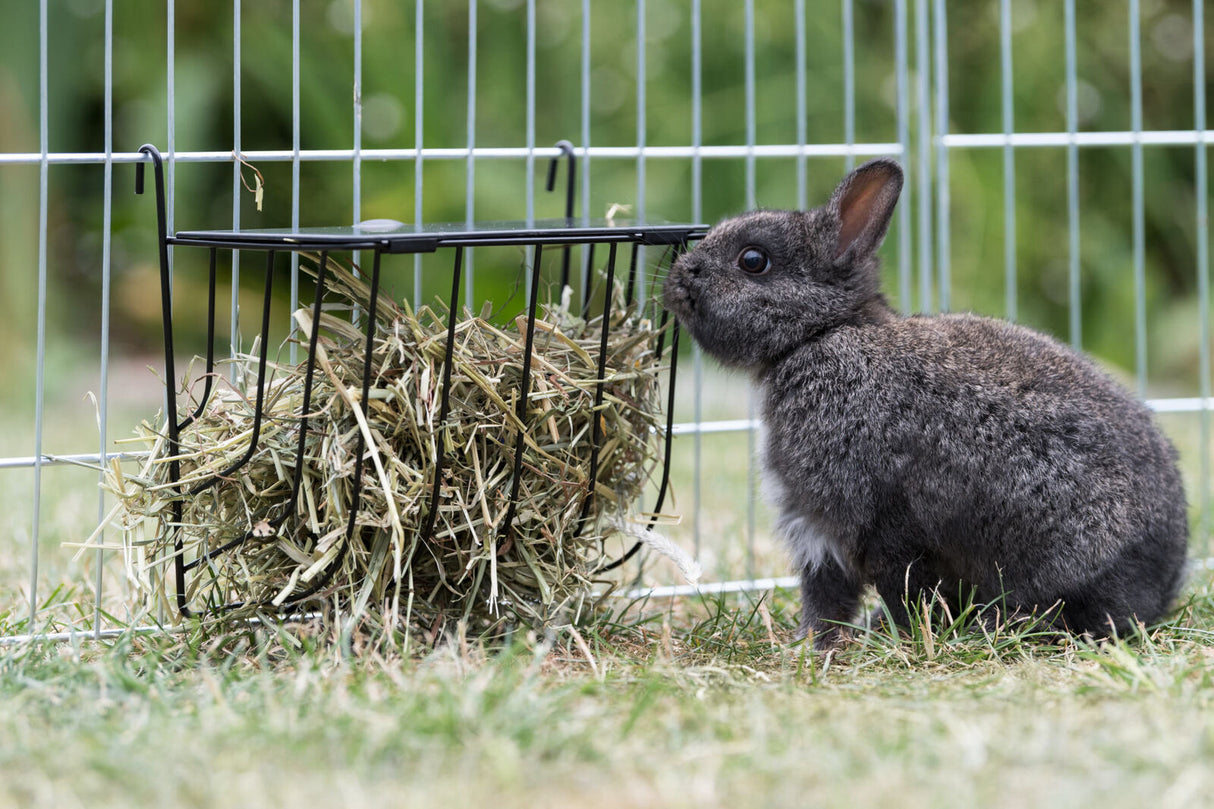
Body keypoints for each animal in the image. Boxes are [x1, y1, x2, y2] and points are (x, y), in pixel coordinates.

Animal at [663, 158, 1189, 649]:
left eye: (753, 260)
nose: (679, 276)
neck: (820, 333)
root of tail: (1164, 576)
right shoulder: (818, 532)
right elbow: (828, 597)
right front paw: (813, 643)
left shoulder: (873, 521)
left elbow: (895, 583)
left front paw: (894, 636)